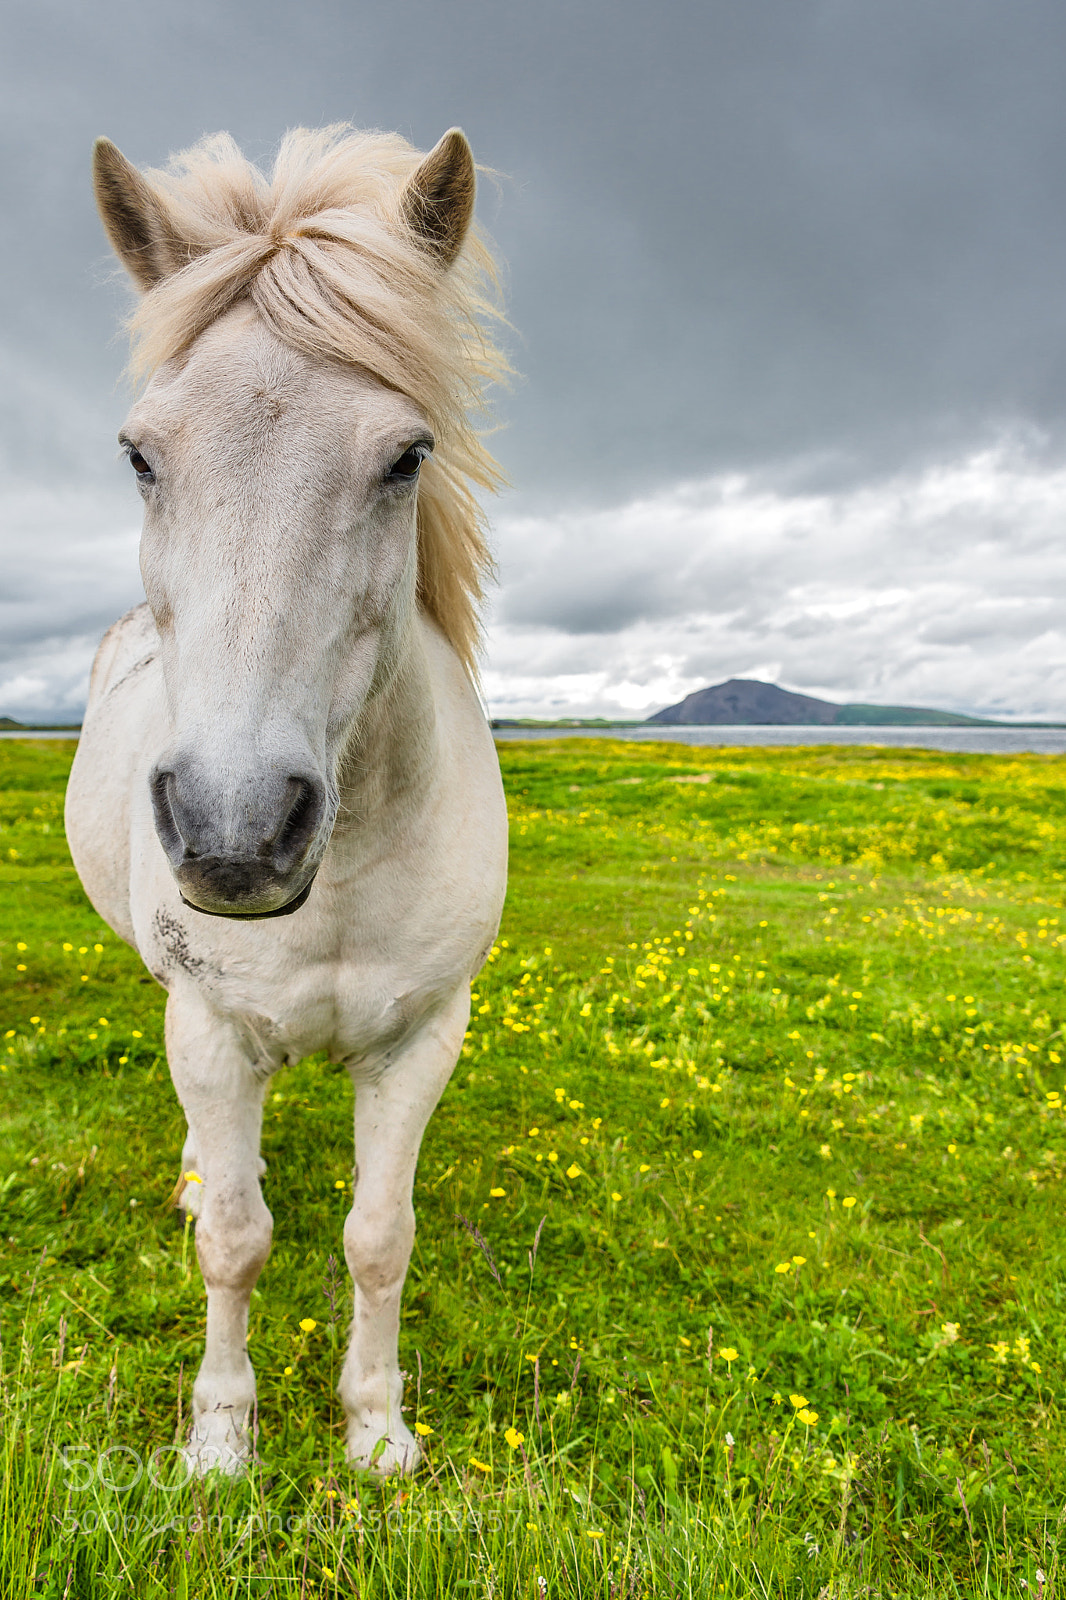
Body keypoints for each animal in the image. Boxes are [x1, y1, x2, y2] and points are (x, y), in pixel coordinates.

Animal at [65, 124, 510, 1477]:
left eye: (407, 455)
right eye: (140, 455)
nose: (237, 833)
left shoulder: (422, 1039)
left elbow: (379, 1236)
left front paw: (375, 1429)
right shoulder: (211, 1032)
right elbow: (236, 1240)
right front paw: (220, 1440)